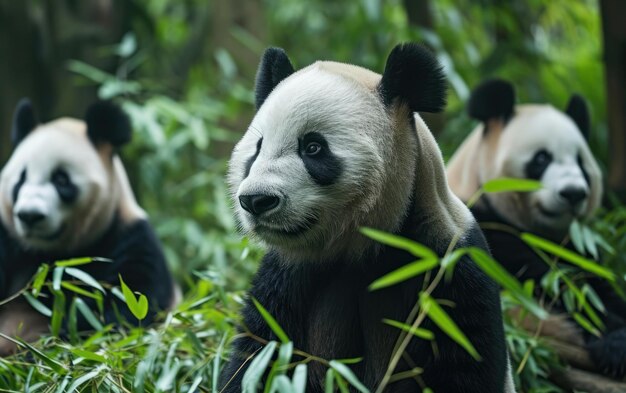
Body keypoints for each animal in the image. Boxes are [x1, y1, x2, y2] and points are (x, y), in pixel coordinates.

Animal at [0, 99, 177, 356]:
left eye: (61, 179)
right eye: (21, 179)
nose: (30, 215)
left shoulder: (130, 240)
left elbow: (123, 311)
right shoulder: (7, 237)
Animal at [222, 43, 516, 392]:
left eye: (313, 147)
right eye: (257, 148)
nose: (256, 200)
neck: (363, 245)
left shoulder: (449, 269)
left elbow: (464, 361)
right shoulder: (286, 279)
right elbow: (257, 357)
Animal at [444, 79, 624, 376]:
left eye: (580, 162)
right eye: (542, 159)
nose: (573, 193)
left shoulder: (578, 246)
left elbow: (594, 283)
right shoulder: (482, 233)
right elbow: (558, 286)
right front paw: (614, 344)